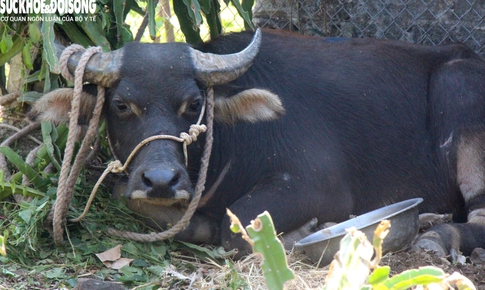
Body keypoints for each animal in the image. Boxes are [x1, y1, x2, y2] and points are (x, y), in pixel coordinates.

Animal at [36, 28, 484, 258]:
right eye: (121, 105)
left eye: (194, 104)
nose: (161, 181)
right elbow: (122, 194)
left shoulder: (318, 186)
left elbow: (237, 230)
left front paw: (305, 233)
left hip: (461, 100)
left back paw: (436, 235)